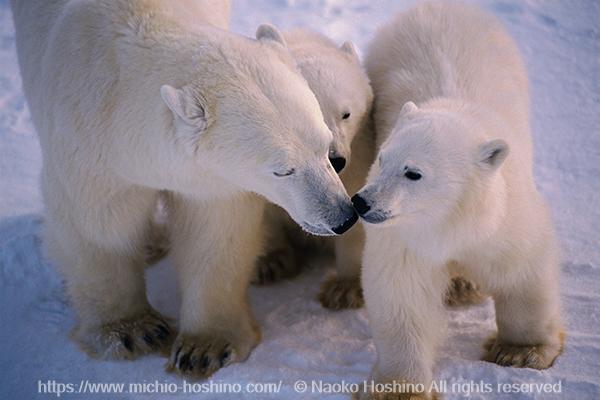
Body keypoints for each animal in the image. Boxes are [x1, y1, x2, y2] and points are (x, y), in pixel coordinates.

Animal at [10, 0, 356, 378]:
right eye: (282, 170)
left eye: (324, 147)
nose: (343, 217)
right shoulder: (88, 143)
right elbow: (98, 224)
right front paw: (132, 331)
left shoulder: (210, 180)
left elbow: (213, 232)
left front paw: (205, 348)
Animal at [356, 2, 564, 396]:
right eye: (382, 159)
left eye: (413, 172)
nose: (362, 202)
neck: (452, 221)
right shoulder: (405, 237)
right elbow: (402, 294)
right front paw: (401, 389)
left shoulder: (504, 219)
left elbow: (523, 272)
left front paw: (521, 352)